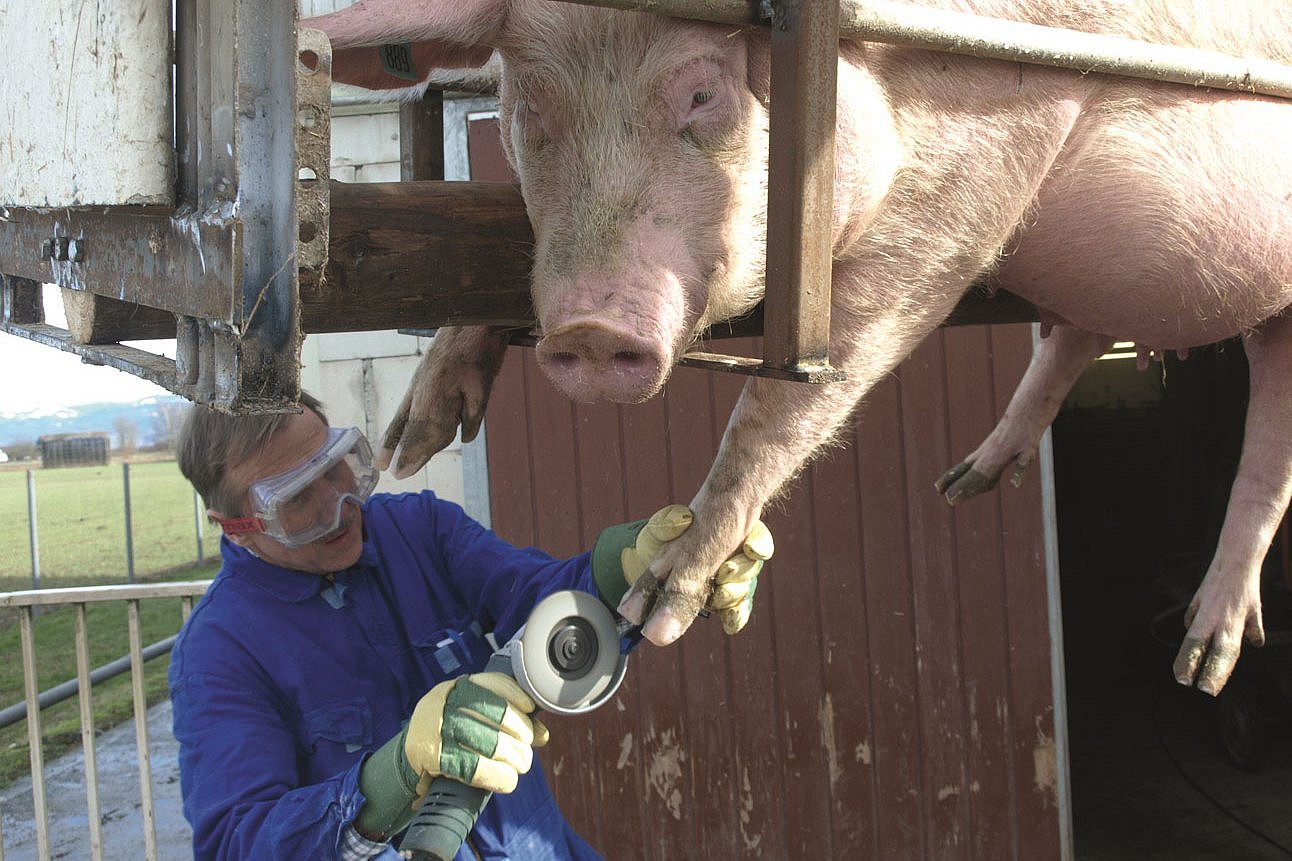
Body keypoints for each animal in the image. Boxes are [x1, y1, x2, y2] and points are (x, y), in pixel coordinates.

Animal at [307, 0, 1292, 692]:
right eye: (529, 106)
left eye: (702, 93)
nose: (589, 330)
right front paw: (411, 442)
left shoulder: (975, 174)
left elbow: (792, 397)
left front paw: (664, 604)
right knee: (1081, 328)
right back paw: (965, 483)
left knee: (1268, 444)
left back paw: (1202, 663)